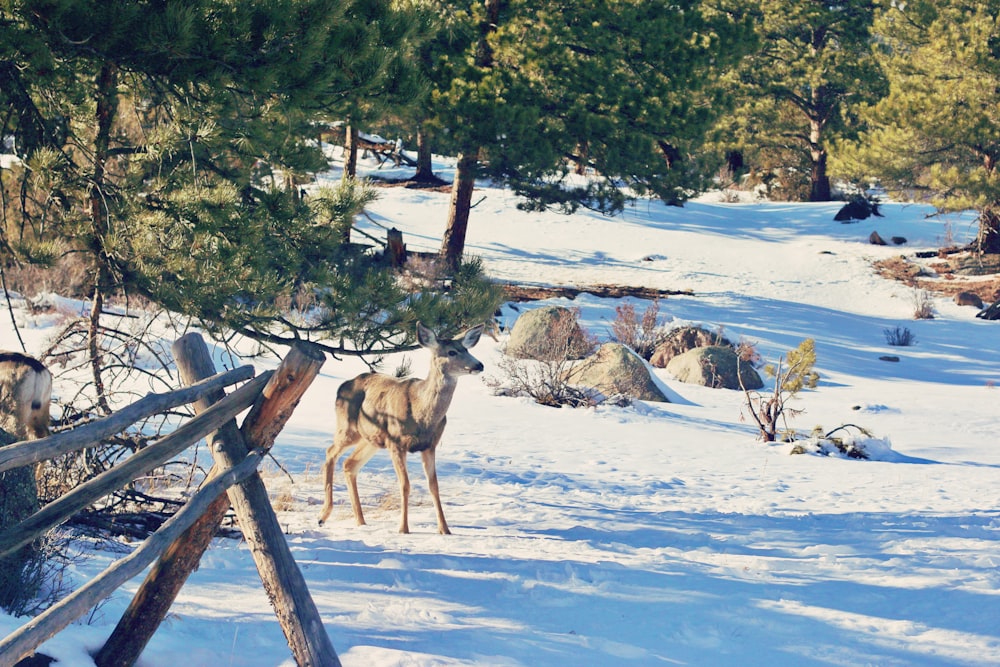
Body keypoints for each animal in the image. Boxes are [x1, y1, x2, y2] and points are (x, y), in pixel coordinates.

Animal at [314, 320, 482, 536]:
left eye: (466, 349)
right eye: (452, 352)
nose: (479, 365)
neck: (422, 414)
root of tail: (342, 386)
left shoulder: (430, 445)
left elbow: (434, 486)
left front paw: (445, 529)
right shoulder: (396, 442)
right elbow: (405, 484)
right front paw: (403, 528)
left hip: (372, 439)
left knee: (349, 464)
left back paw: (361, 521)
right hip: (348, 427)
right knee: (330, 452)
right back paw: (323, 516)